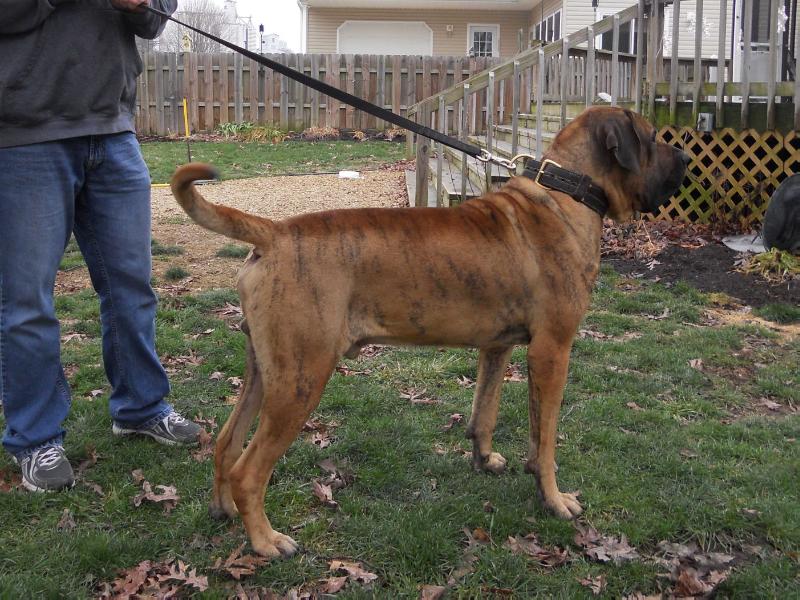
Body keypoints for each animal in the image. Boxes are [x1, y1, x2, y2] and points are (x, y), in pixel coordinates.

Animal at [170, 104, 688, 556]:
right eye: (651, 137)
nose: (685, 157)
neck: (567, 191)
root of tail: (273, 234)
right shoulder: (552, 351)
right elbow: (545, 440)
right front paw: (554, 499)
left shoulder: (497, 347)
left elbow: (486, 410)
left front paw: (485, 459)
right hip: (302, 376)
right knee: (249, 470)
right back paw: (265, 541)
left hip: (265, 369)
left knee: (225, 443)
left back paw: (223, 510)